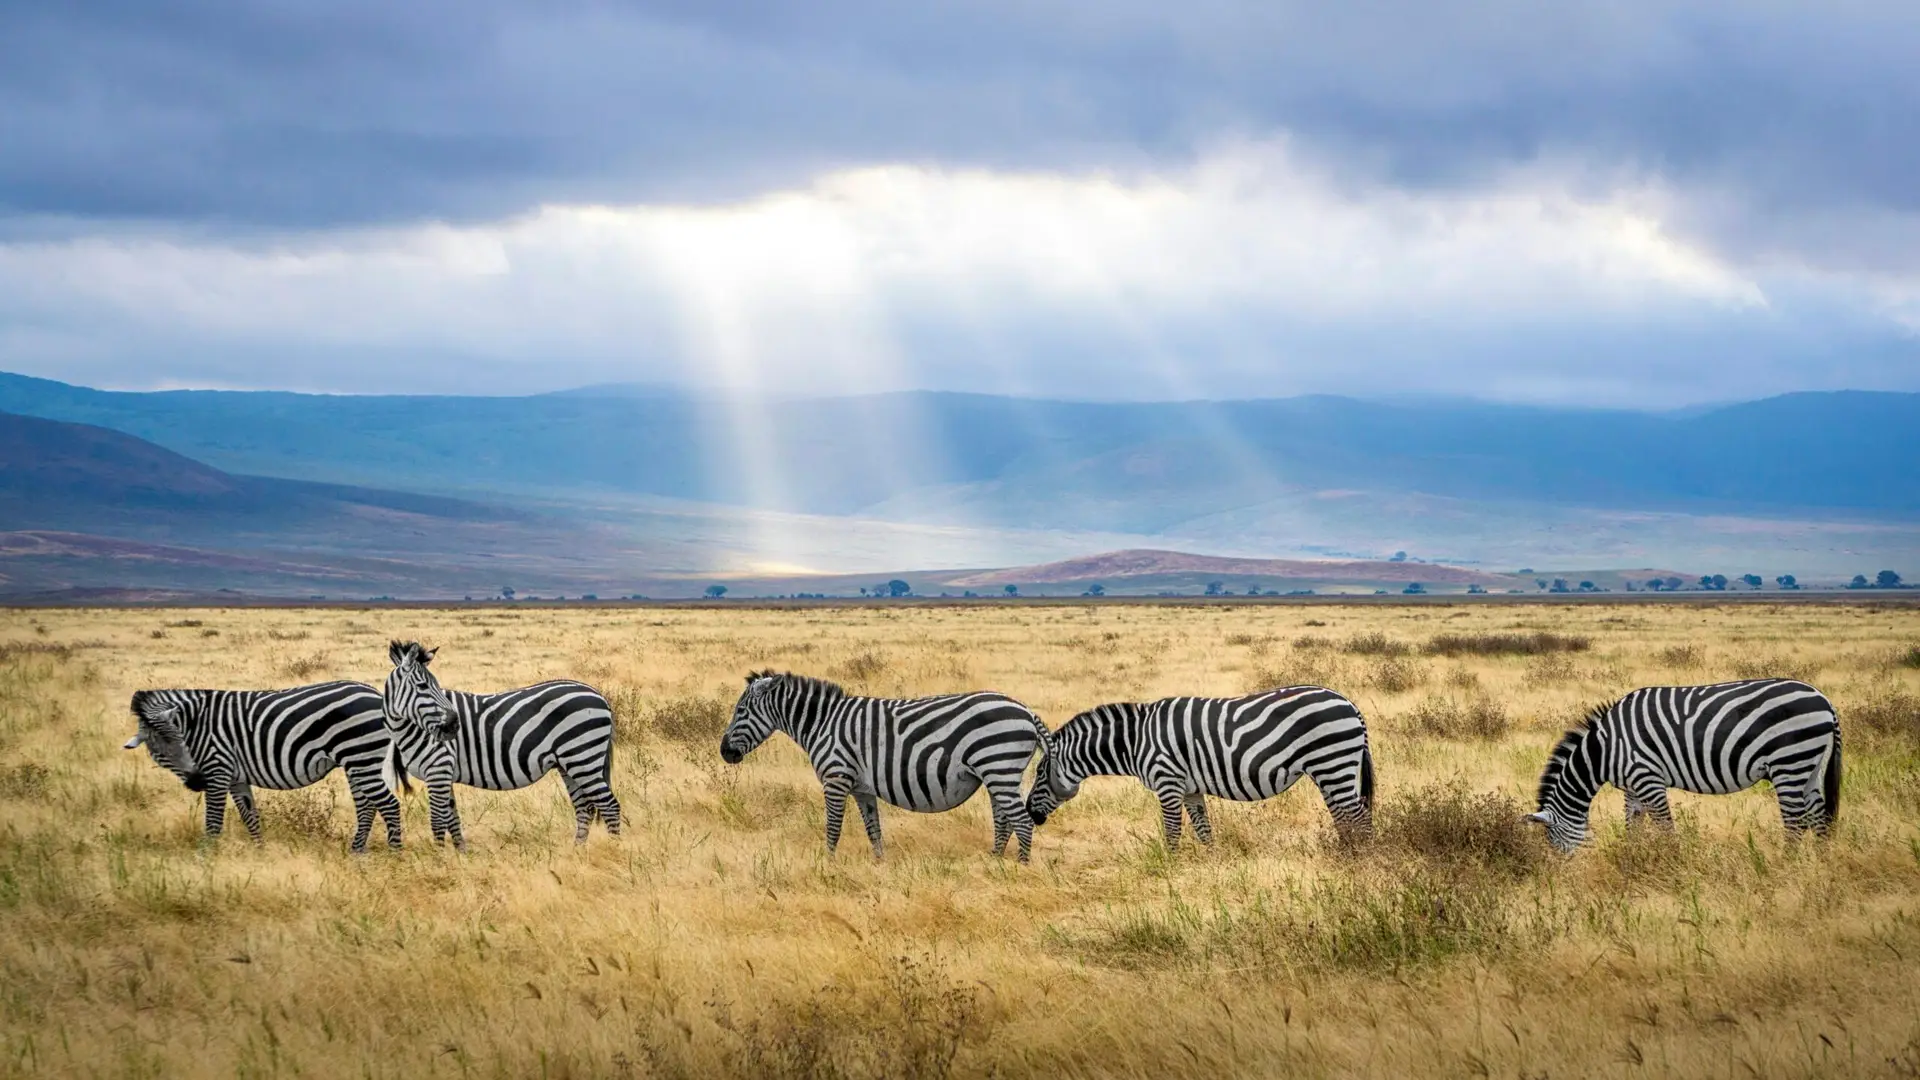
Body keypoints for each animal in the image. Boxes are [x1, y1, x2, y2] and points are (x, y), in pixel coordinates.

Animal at [122, 680, 401, 849]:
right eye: (159, 751)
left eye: (181, 742)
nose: (197, 781)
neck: (196, 724)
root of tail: (376, 693)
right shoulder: (235, 778)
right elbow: (250, 817)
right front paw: (260, 851)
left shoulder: (217, 769)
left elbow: (213, 822)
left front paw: (206, 859)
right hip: (357, 762)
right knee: (366, 806)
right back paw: (357, 852)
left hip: (361, 758)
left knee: (389, 805)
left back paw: (394, 855)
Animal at [385, 634, 625, 845]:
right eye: (423, 686)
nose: (454, 725)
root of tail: (599, 695)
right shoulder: (444, 773)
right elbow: (452, 820)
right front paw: (461, 855)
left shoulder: (438, 769)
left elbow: (437, 822)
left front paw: (441, 857)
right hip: (569, 764)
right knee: (585, 807)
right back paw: (577, 851)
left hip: (583, 757)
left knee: (610, 806)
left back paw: (613, 849)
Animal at [721, 668, 1052, 860]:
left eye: (740, 710)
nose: (725, 752)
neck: (822, 723)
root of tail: (1025, 710)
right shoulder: (862, 788)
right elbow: (874, 829)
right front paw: (879, 866)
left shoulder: (836, 778)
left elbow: (833, 827)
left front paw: (828, 865)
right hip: (998, 773)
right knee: (1004, 820)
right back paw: (994, 862)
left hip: (998, 767)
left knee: (1021, 822)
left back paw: (1019, 868)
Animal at [1029, 684, 1374, 845]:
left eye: (1040, 773)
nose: (1031, 814)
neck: (1135, 741)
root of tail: (1350, 703)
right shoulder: (1190, 789)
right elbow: (1204, 830)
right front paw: (1211, 866)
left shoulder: (1167, 782)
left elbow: (1172, 833)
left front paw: (1170, 870)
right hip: (1329, 769)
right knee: (1345, 816)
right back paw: (1345, 854)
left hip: (1333, 762)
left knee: (1358, 816)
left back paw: (1360, 860)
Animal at [1528, 676, 1843, 853]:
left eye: (1554, 841)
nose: (1565, 875)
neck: (1604, 750)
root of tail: (1824, 700)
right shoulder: (1632, 787)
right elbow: (1633, 826)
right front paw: (1632, 859)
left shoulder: (1647, 778)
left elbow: (1665, 827)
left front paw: (1673, 863)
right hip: (1809, 765)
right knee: (1818, 817)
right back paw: (1820, 867)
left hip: (1788, 761)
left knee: (1795, 822)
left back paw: (1784, 866)